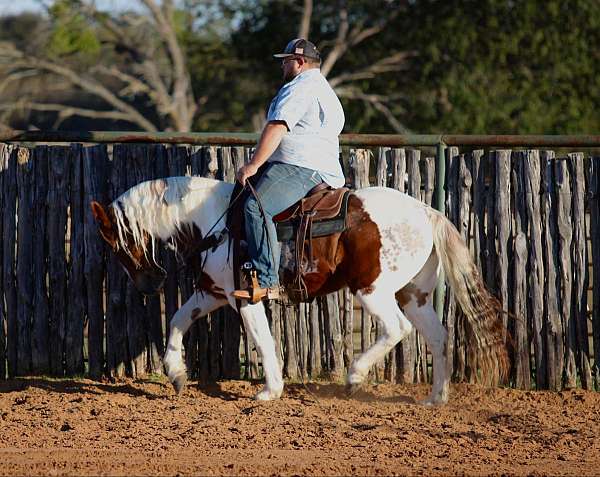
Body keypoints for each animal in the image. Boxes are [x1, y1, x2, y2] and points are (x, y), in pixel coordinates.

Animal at [90, 176, 510, 406]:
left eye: (117, 243)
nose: (151, 283)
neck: (215, 219)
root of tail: (426, 212)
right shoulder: (213, 292)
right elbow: (178, 319)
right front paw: (176, 373)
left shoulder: (246, 298)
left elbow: (262, 340)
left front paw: (270, 390)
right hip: (414, 296)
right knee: (439, 337)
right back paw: (436, 398)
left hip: (372, 290)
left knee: (397, 329)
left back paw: (355, 376)